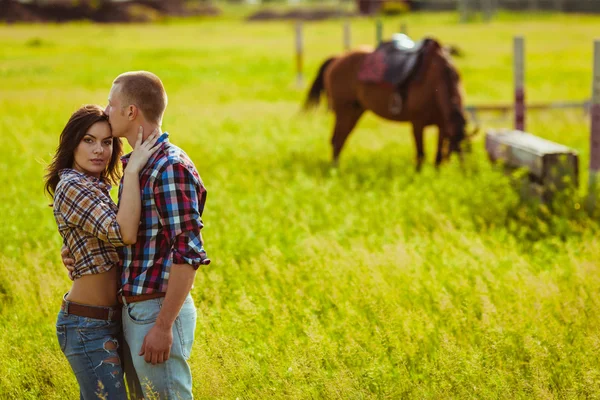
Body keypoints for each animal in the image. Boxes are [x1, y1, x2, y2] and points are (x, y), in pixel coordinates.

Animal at [302, 39, 476, 171]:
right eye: (455, 149)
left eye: (468, 149)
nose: (465, 172)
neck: (436, 80)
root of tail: (338, 58)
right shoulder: (417, 123)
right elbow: (421, 153)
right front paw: (418, 174)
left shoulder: (442, 125)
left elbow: (438, 155)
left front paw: (436, 173)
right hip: (344, 111)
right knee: (337, 140)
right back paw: (335, 169)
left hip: (355, 110)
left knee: (340, 139)